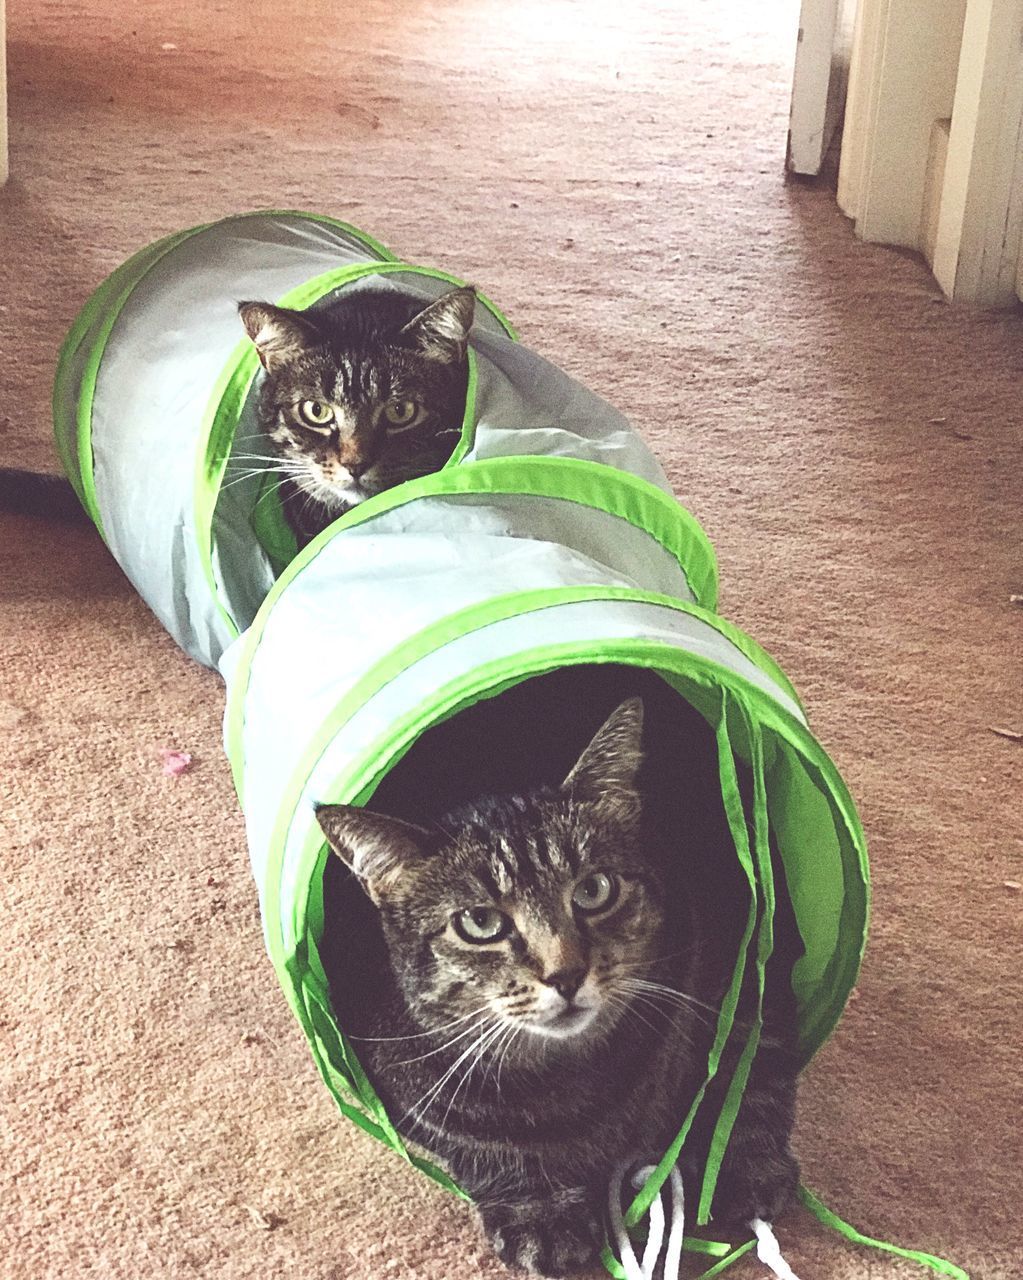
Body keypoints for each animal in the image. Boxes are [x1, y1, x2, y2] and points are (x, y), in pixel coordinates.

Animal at [316, 670, 804, 1280]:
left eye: (594, 890)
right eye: (480, 922)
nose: (566, 974)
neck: (570, 1073)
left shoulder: (750, 949)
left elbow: (749, 1065)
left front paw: (741, 1162)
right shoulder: (403, 1086)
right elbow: (489, 1144)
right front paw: (541, 1212)